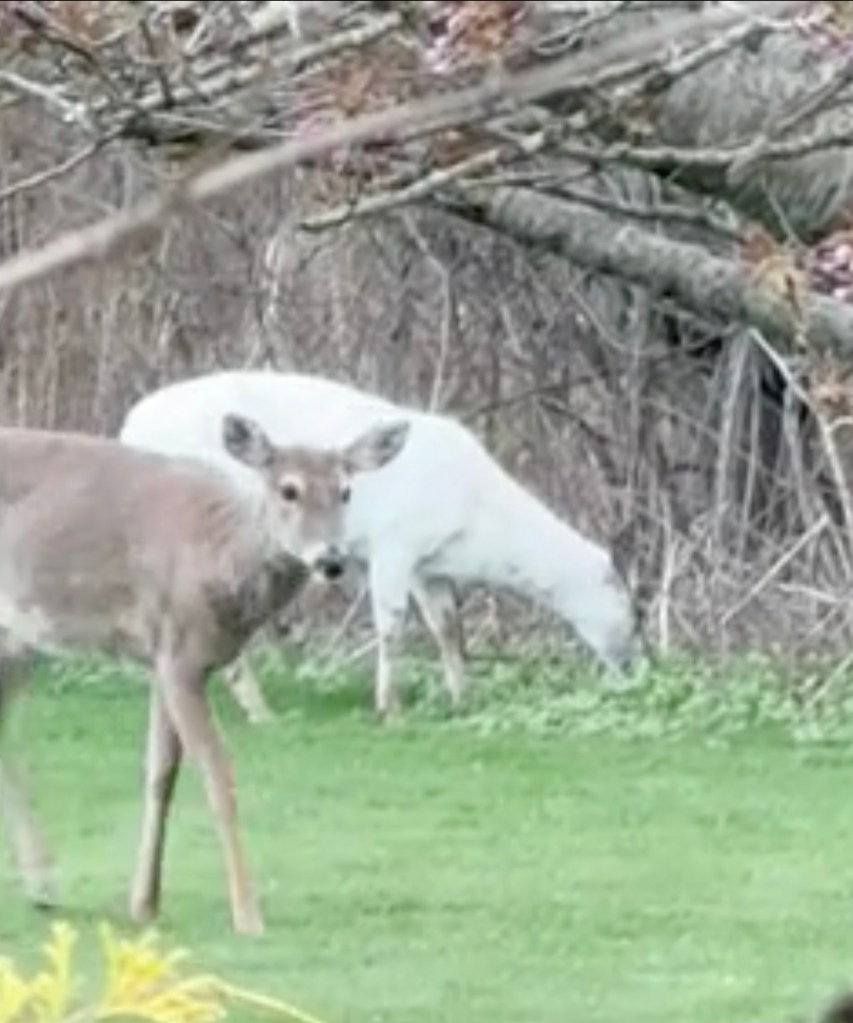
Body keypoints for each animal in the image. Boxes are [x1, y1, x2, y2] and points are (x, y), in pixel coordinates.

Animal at [0, 411, 409, 935]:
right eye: (288, 489)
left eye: (346, 490)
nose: (331, 559)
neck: (219, 556)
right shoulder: (179, 656)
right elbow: (217, 776)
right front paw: (248, 914)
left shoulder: (161, 658)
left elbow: (161, 773)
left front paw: (144, 902)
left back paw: (42, 886)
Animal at [118, 370, 643, 723]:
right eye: (629, 606)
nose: (635, 663)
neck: (475, 527)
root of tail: (128, 428)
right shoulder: (393, 542)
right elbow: (391, 626)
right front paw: (389, 708)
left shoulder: (428, 565)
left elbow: (446, 627)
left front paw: (462, 698)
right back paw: (257, 708)